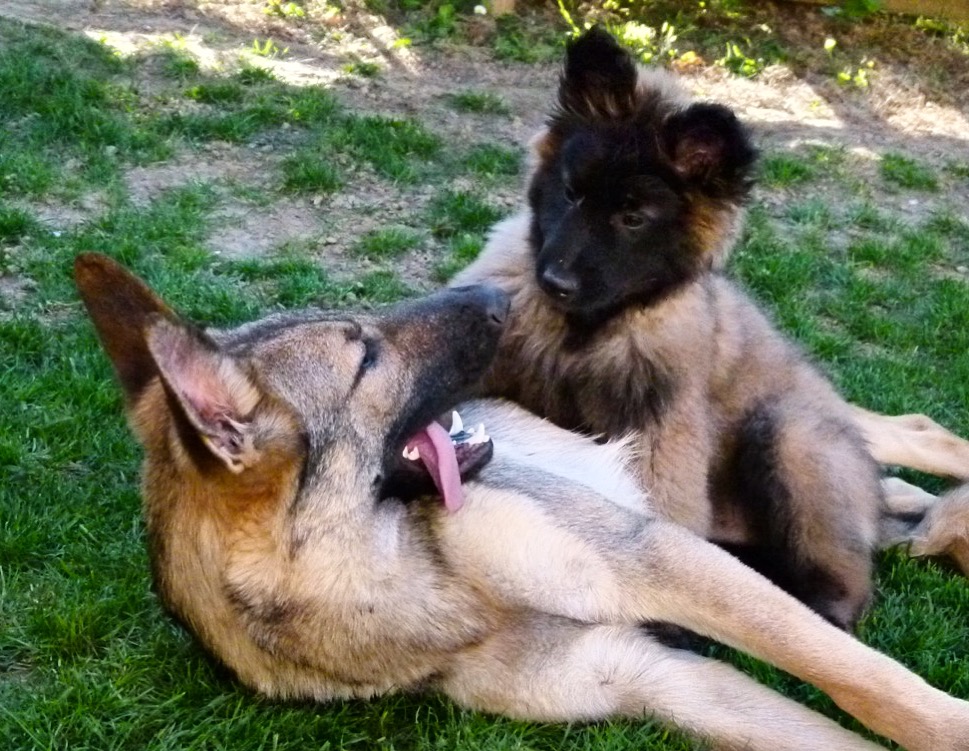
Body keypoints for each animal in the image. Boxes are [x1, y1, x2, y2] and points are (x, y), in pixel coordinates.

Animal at [75, 253, 968, 751]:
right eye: (363, 354)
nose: (500, 297)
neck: (402, 580)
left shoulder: (653, 557)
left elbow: (873, 685)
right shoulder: (657, 676)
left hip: (772, 426)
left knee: (912, 432)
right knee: (898, 495)